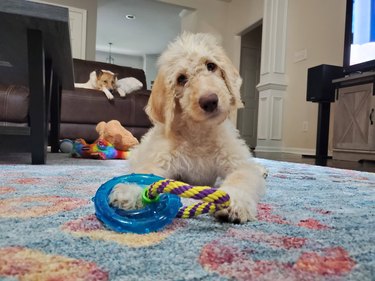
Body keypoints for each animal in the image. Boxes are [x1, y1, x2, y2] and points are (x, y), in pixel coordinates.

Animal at [108, 31, 268, 222]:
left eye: (211, 65)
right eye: (181, 79)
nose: (210, 101)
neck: (199, 133)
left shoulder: (237, 163)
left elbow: (241, 177)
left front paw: (234, 202)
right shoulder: (161, 160)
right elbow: (147, 173)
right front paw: (130, 190)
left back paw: (261, 169)